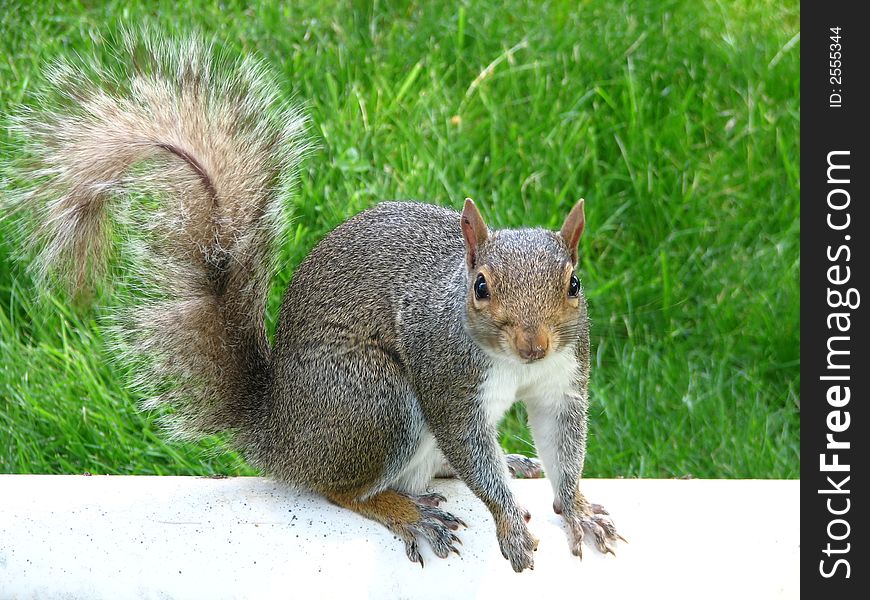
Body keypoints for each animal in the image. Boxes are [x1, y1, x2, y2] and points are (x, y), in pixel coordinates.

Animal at [3, 29, 624, 572]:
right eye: (481, 287)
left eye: (573, 284)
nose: (533, 343)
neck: (514, 365)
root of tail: (282, 435)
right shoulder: (448, 375)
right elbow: (469, 445)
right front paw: (510, 525)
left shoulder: (563, 376)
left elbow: (562, 441)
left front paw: (575, 508)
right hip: (374, 401)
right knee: (341, 490)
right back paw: (403, 510)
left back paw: (503, 465)